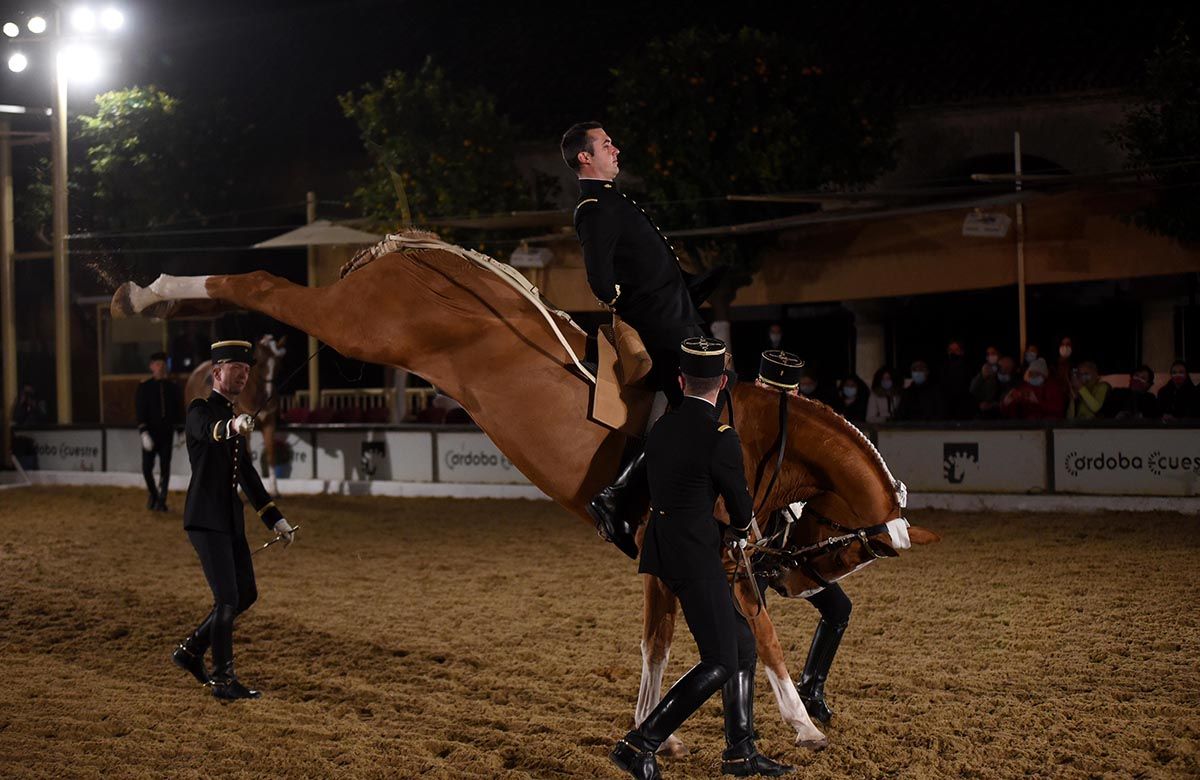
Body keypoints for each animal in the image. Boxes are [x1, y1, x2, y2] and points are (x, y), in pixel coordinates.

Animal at [182, 333, 285, 492]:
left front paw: (274, 490)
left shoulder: (269, 423)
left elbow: (270, 454)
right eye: (261, 364)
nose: (269, 396)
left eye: (279, 364)